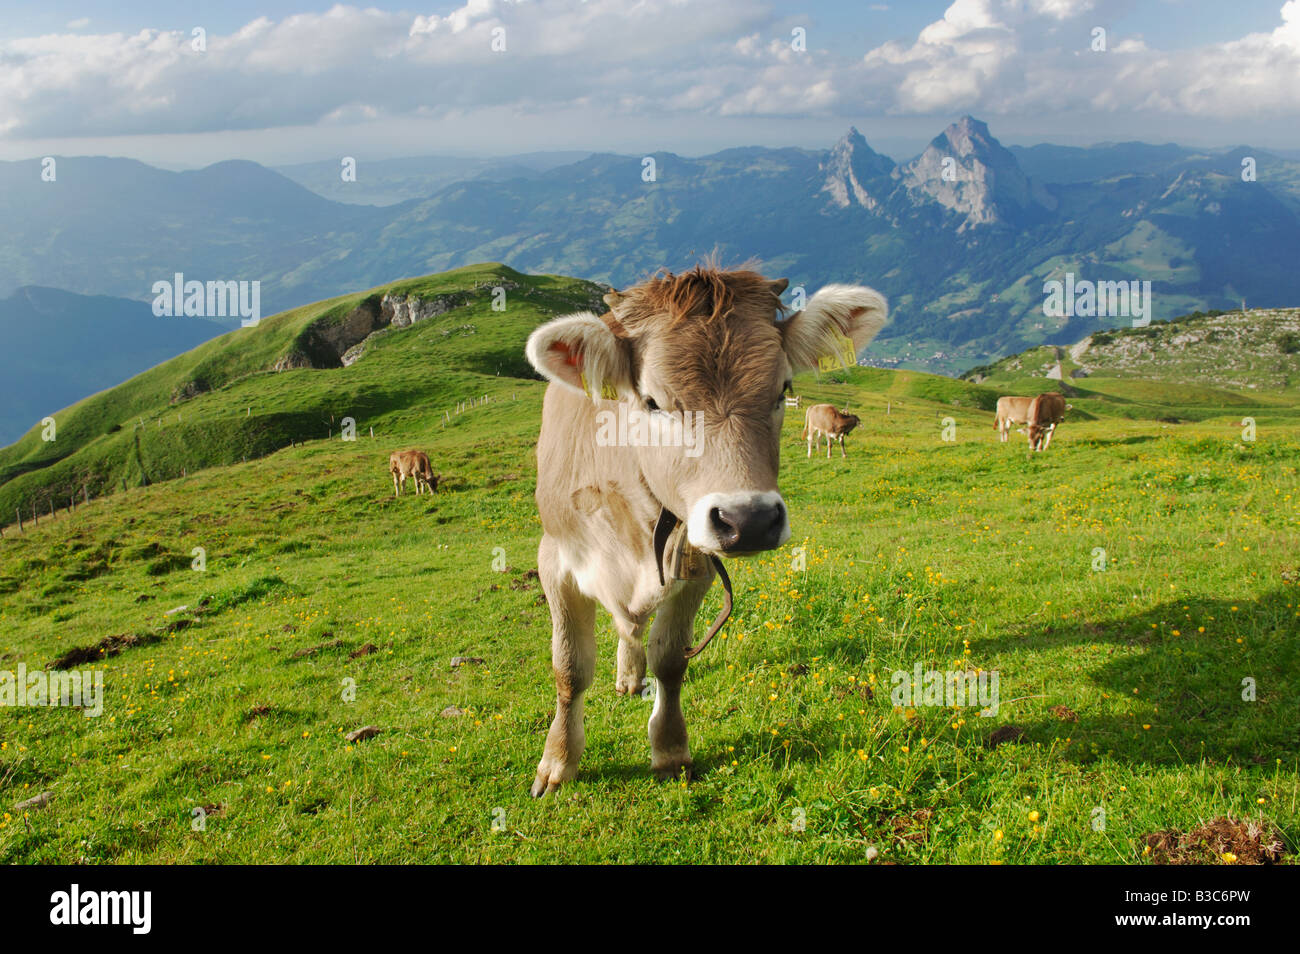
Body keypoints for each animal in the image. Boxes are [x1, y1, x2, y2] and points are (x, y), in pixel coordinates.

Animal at [522, 265, 889, 795]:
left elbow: (670, 660)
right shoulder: (556, 561)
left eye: (782, 389)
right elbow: (569, 668)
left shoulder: (696, 565)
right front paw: (557, 762)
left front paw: (671, 749)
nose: (750, 519)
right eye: (652, 402)